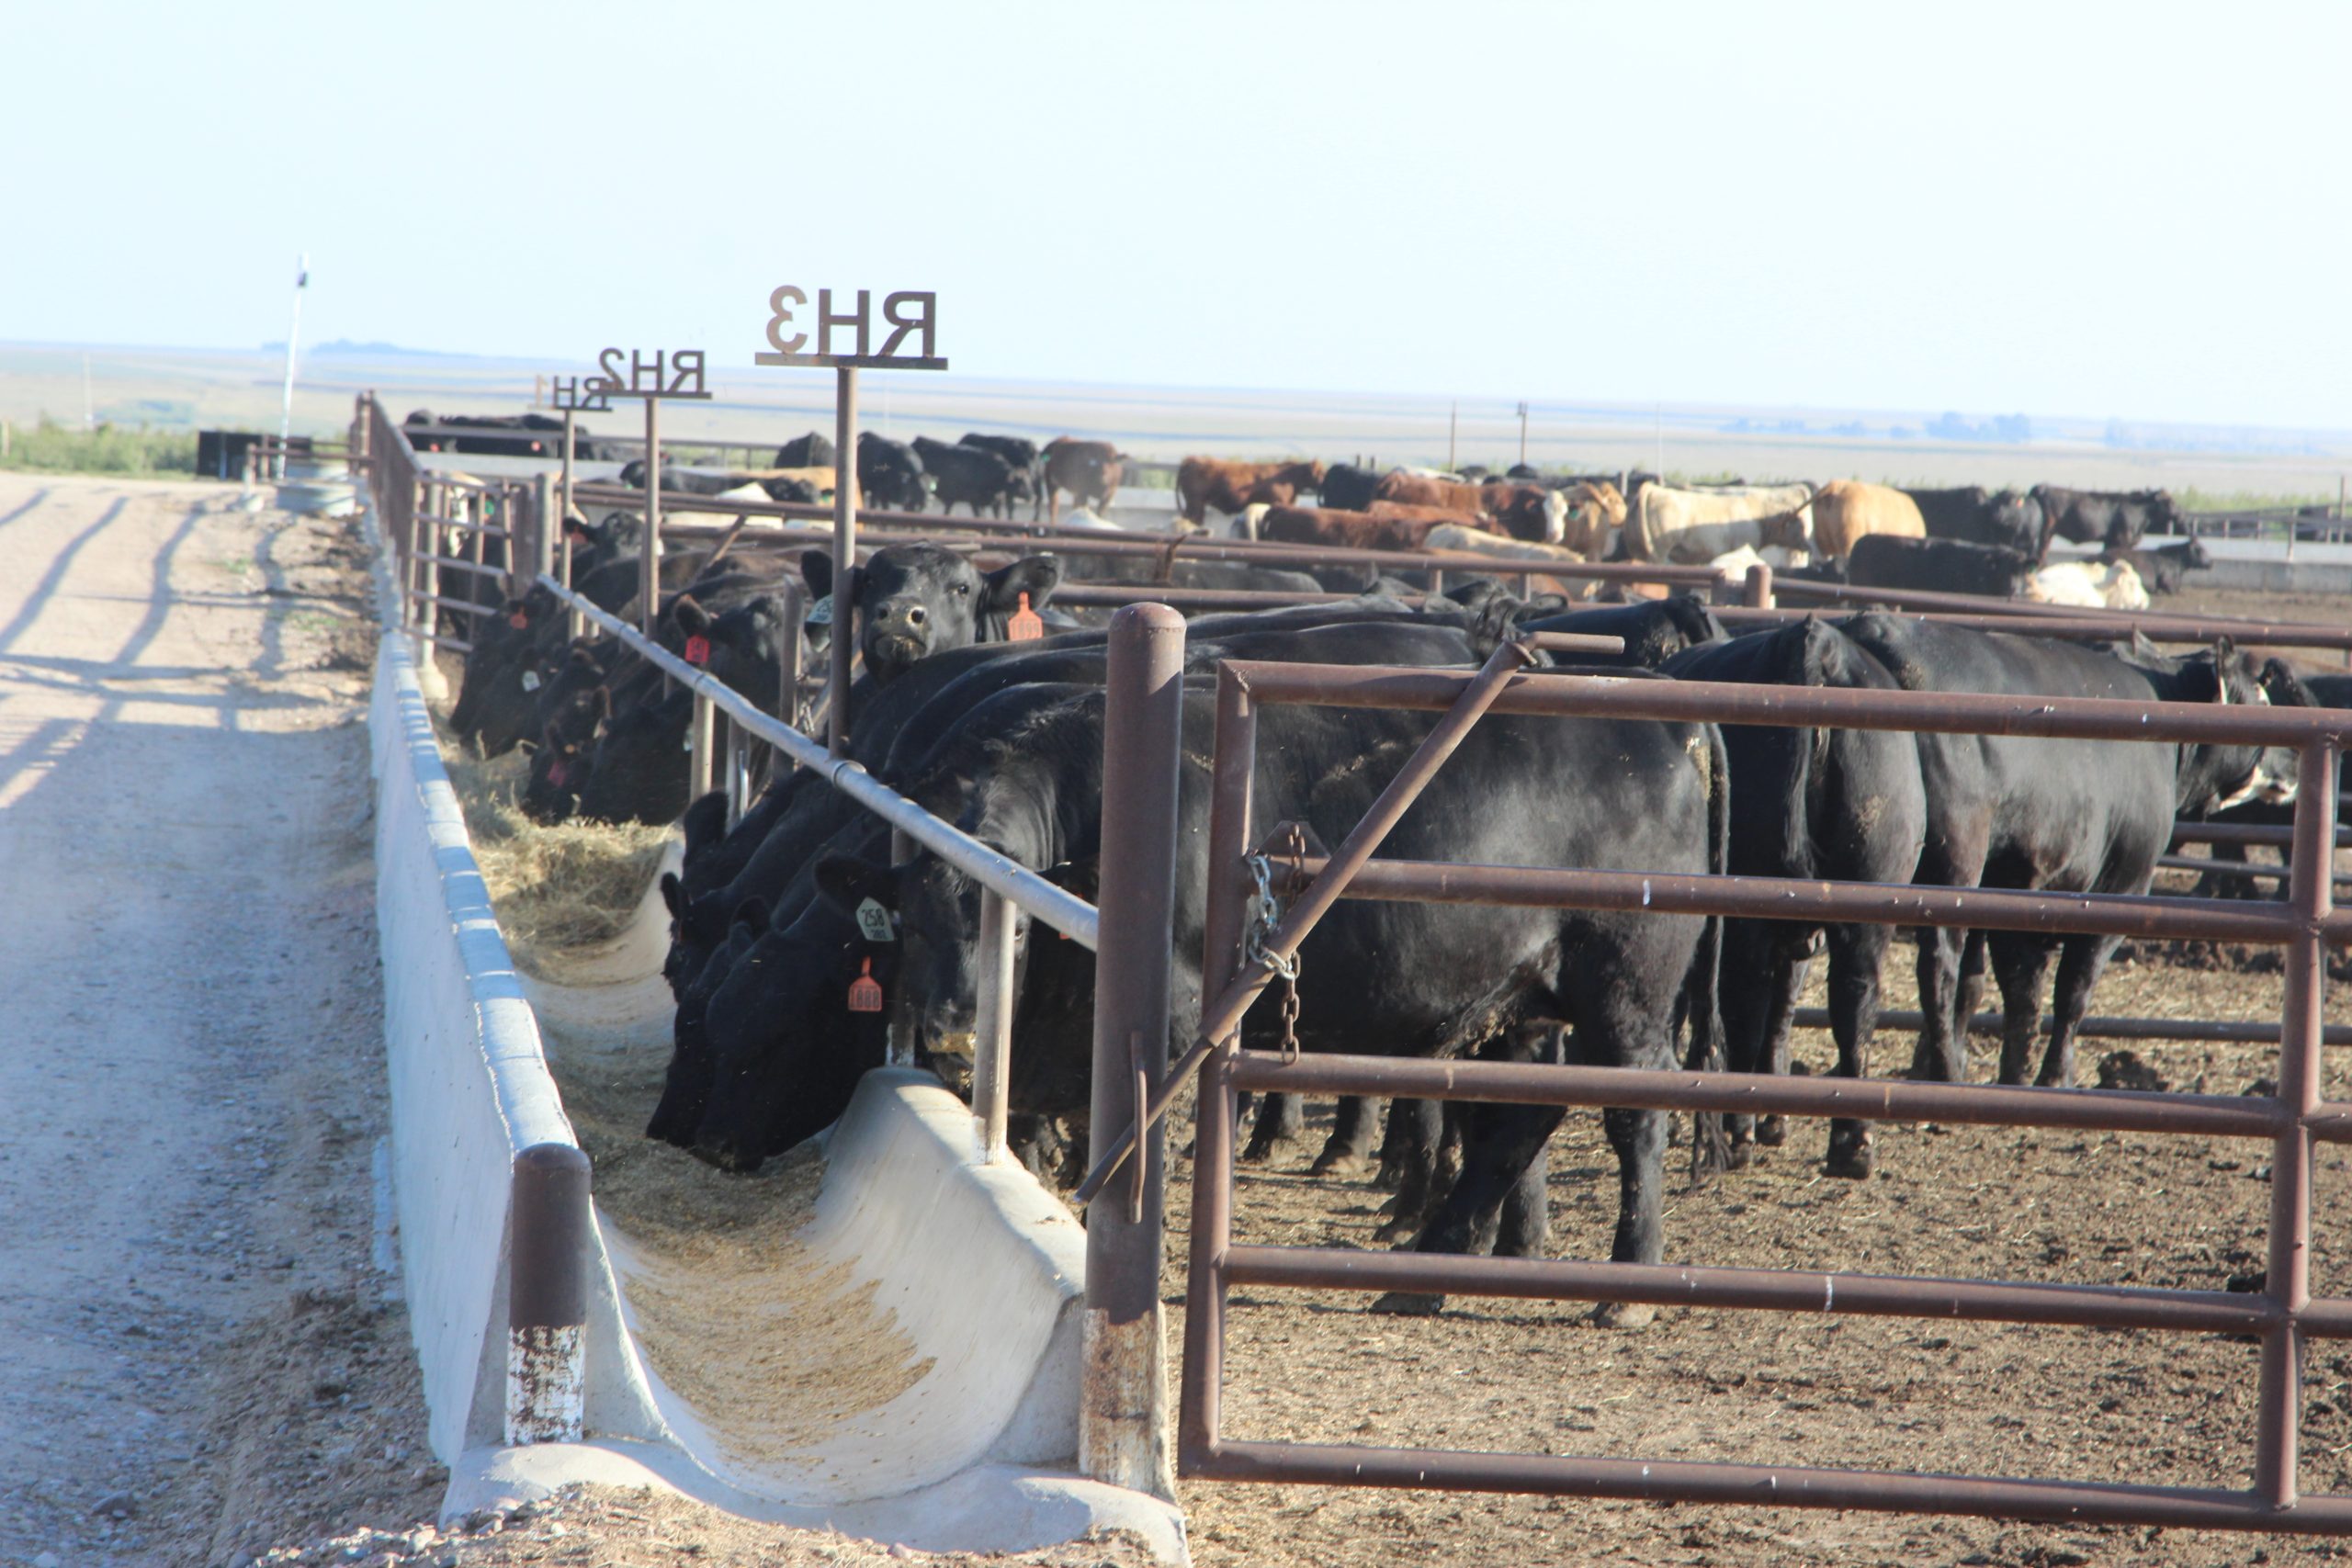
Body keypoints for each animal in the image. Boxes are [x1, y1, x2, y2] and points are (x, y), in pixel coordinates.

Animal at [1665, 615, 1918, 1175]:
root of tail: (1815, 641)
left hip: (1751, 911)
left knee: (1748, 999)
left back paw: (1739, 1129)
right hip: (1868, 893)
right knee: (1853, 1001)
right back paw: (1852, 1142)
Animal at [1844, 615, 2286, 1090]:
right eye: (2261, 701)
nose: (2289, 766)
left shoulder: (2008, 884)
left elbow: (1994, 986)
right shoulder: (2117, 889)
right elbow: (2070, 989)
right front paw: (2052, 1076)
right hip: (1952, 865)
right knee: (1937, 968)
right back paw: (1944, 1073)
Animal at [2031, 493, 2173, 561]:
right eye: (2168, 502)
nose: (2177, 513)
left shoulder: (2110, 541)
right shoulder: (2121, 541)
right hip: (2046, 533)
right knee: (2041, 551)